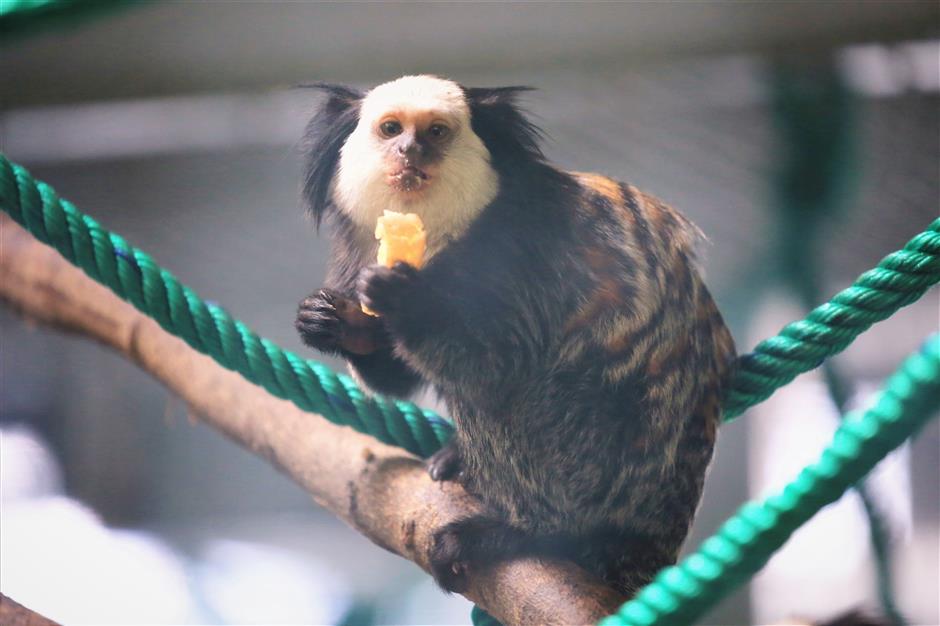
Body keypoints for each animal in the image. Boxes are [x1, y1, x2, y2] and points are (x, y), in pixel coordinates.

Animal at [294, 75, 736, 592]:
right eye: (391, 129)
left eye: (436, 132)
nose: (410, 150)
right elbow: (396, 374)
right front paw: (337, 324)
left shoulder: (519, 257)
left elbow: (499, 366)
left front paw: (407, 304)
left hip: (589, 458)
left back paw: (525, 534)